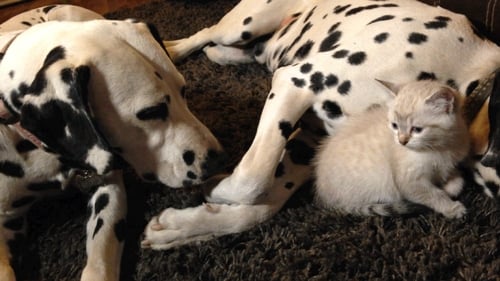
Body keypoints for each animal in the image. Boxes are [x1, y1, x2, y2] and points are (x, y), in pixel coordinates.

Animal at [314, 80, 470, 218]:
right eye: (395, 125)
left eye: (417, 129)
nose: (402, 141)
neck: (438, 147)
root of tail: (323, 198)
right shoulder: (409, 181)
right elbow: (434, 194)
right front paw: (452, 208)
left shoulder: (450, 163)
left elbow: (457, 180)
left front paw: (450, 187)